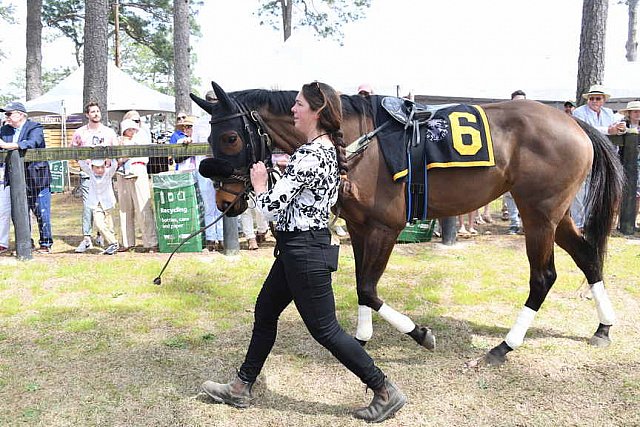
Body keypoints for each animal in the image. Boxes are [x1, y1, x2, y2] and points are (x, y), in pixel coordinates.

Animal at [191, 82, 624, 366]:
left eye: (230, 137)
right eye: (210, 137)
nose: (225, 201)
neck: (351, 140)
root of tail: (575, 123)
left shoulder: (386, 227)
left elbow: (368, 287)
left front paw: (419, 333)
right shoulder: (359, 227)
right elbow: (361, 285)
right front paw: (362, 338)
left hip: (538, 215)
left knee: (544, 277)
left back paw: (504, 347)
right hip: (556, 214)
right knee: (588, 256)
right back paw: (603, 327)